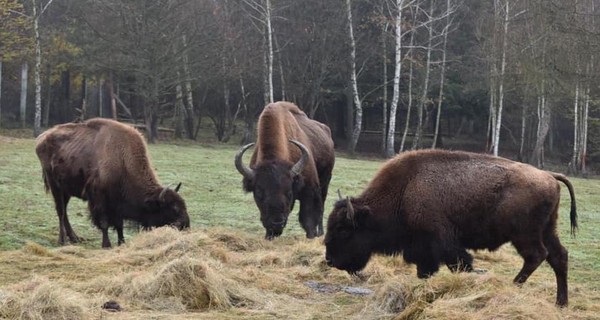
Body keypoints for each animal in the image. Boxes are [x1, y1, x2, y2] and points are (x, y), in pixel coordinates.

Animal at [35, 117, 190, 248]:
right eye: (174, 209)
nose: (186, 226)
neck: (123, 160)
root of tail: (41, 139)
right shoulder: (100, 200)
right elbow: (104, 223)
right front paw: (107, 245)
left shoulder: (118, 204)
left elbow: (119, 224)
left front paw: (122, 243)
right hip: (55, 186)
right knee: (61, 211)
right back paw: (62, 240)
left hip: (66, 189)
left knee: (64, 211)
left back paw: (74, 238)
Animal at [236, 101, 338, 239]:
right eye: (259, 193)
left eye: (289, 192)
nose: (277, 223)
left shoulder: (310, 190)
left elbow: (309, 219)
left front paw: (311, 236)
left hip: (326, 180)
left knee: (321, 205)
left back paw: (320, 233)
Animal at [326, 149, 580, 306]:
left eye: (344, 229)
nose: (329, 259)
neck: (404, 191)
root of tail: (549, 175)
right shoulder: (425, 251)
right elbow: (426, 270)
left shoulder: (441, 243)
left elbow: (460, 264)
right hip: (548, 230)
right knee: (559, 256)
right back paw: (561, 303)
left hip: (524, 234)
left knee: (536, 256)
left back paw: (514, 286)